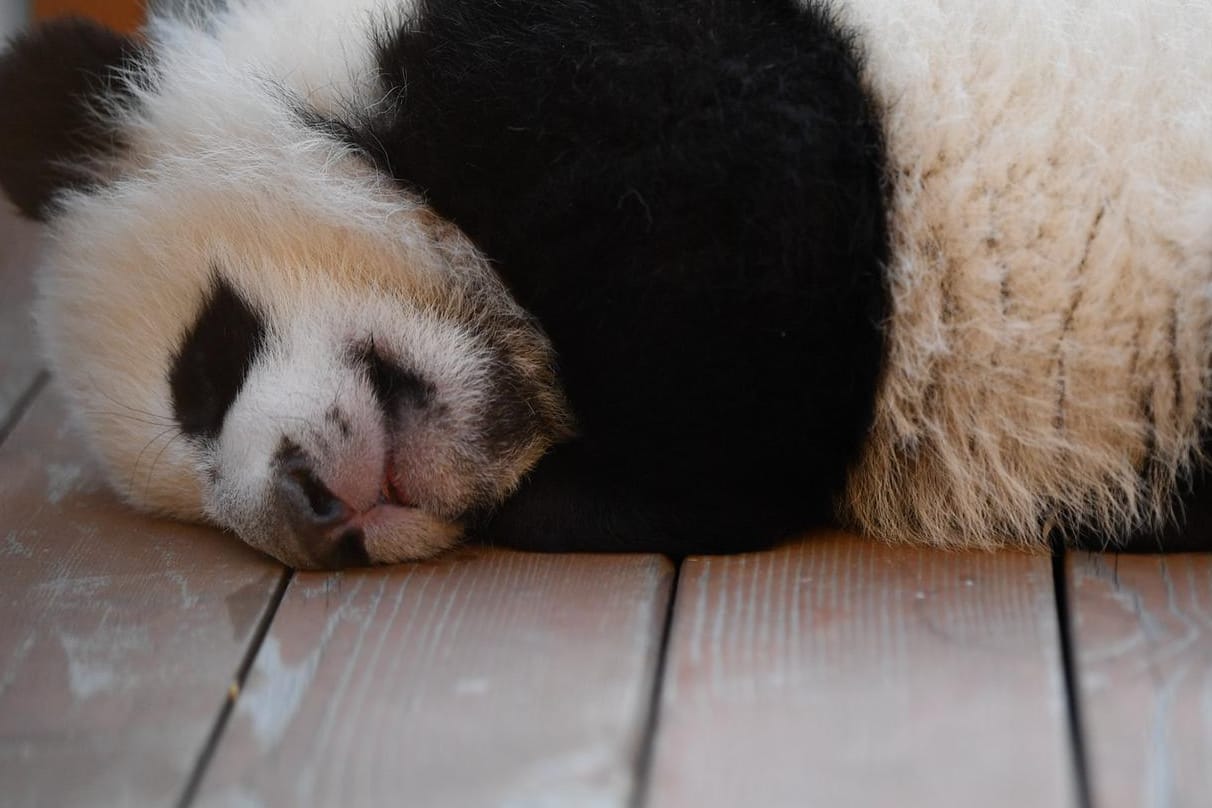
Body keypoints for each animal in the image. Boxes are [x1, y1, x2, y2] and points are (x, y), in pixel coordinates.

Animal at [0, 0, 1207, 569]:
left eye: (205, 364)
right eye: (201, 502)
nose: (303, 515)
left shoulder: (568, 62)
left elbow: (749, 227)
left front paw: (589, 495)